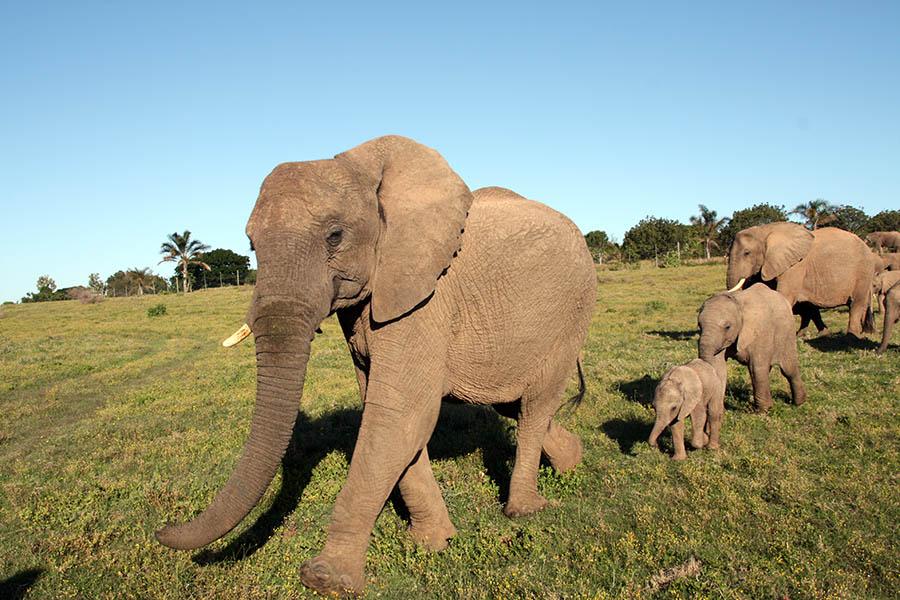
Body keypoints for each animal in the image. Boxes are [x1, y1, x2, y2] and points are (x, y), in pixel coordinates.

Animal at [153, 136, 597, 596]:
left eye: (335, 236)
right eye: (252, 246)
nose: (160, 531)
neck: (361, 169)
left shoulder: (425, 295)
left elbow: (400, 412)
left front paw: (325, 579)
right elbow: (388, 413)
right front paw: (434, 542)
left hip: (572, 313)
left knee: (534, 406)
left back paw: (522, 510)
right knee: (514, 404)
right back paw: (571, 461)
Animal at [698, 283, 806, 412]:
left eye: (727, 327)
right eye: (699, 326)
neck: (738, 303)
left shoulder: (759, 332)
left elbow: (756, 368)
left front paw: (763, 411)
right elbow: (719, 367)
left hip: (787, 331)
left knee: (788, 369)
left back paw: (799, 403)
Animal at [726, 222, 876, 337]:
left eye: (747, 253)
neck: (765, 230)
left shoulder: (796, 266)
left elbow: (785, 296)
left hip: (863, 271)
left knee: (856, 304)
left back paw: (852, 336)